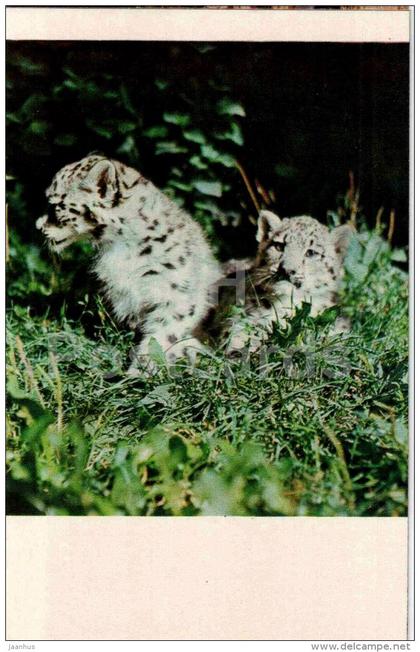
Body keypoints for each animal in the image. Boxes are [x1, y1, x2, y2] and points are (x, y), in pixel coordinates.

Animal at [36, 154, 222, 374]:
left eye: (54, 206)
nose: (38, 226)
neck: (119, 248)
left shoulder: (176, 295)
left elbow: (163, 334)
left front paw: (142, 369)